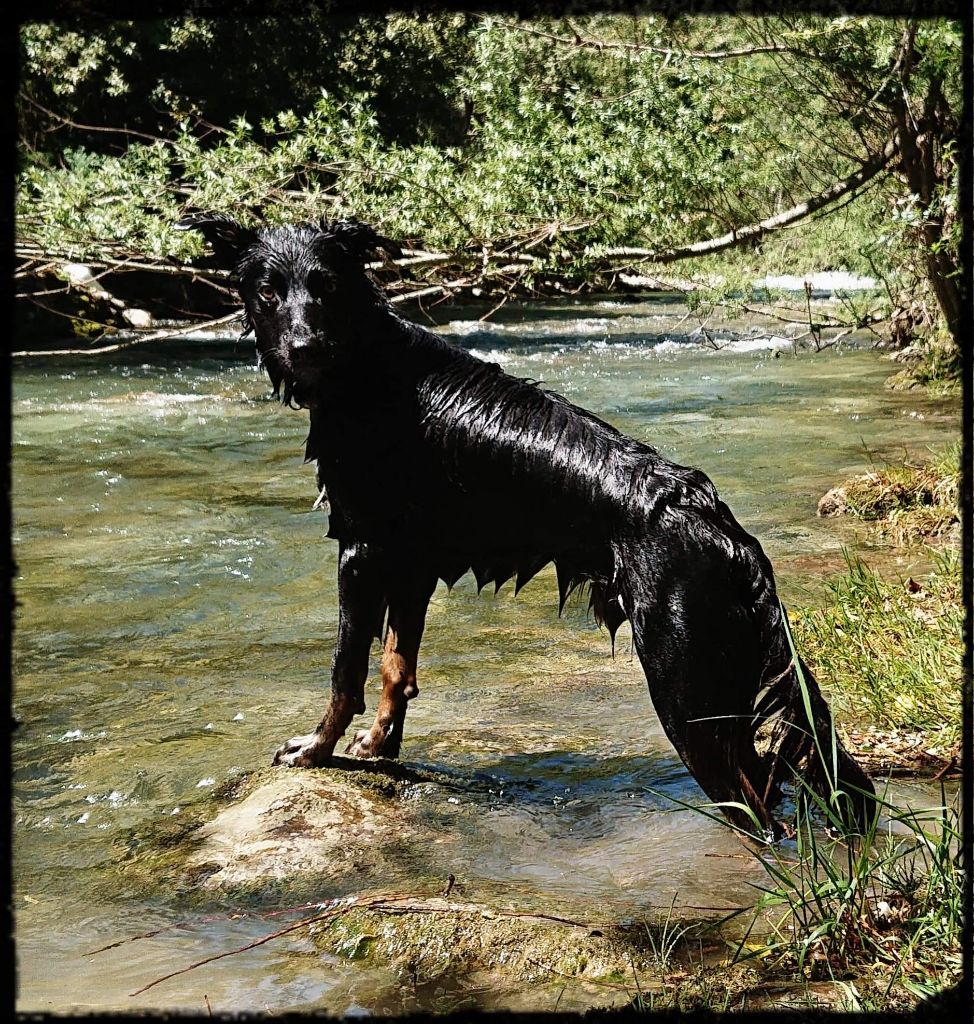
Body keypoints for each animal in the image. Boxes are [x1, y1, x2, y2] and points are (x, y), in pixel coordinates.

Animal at [177, 211, 876, 835]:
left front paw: (316, 750)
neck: (364, 366)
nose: (304, 348)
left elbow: (345, 672)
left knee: (757, 807)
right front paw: (380, 746)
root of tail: (715, 521)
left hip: (684, 684)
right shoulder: (410, 562)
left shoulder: (362, 550)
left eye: (325, 286)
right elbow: (397, 668)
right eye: (268, 289)